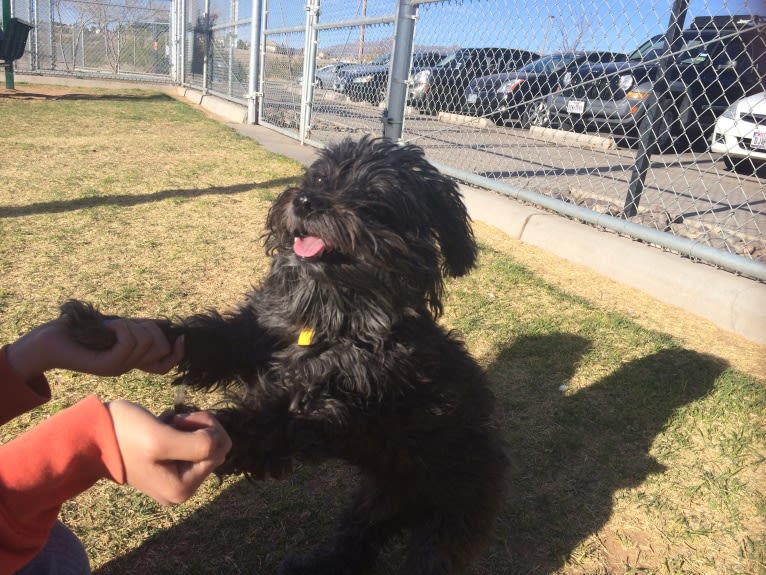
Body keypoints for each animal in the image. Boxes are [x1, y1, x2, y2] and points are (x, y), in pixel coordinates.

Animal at [64, 136, 510, 575]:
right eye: (318, 176)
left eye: (371, 196)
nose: (306, 200)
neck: (333, 311)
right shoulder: (255, 335)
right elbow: (208, 337)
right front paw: (104, 329)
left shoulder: (328, 402)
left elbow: (261, 423)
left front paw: (189, 429)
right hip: (375, 501)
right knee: (358, 540)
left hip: (449, 517)